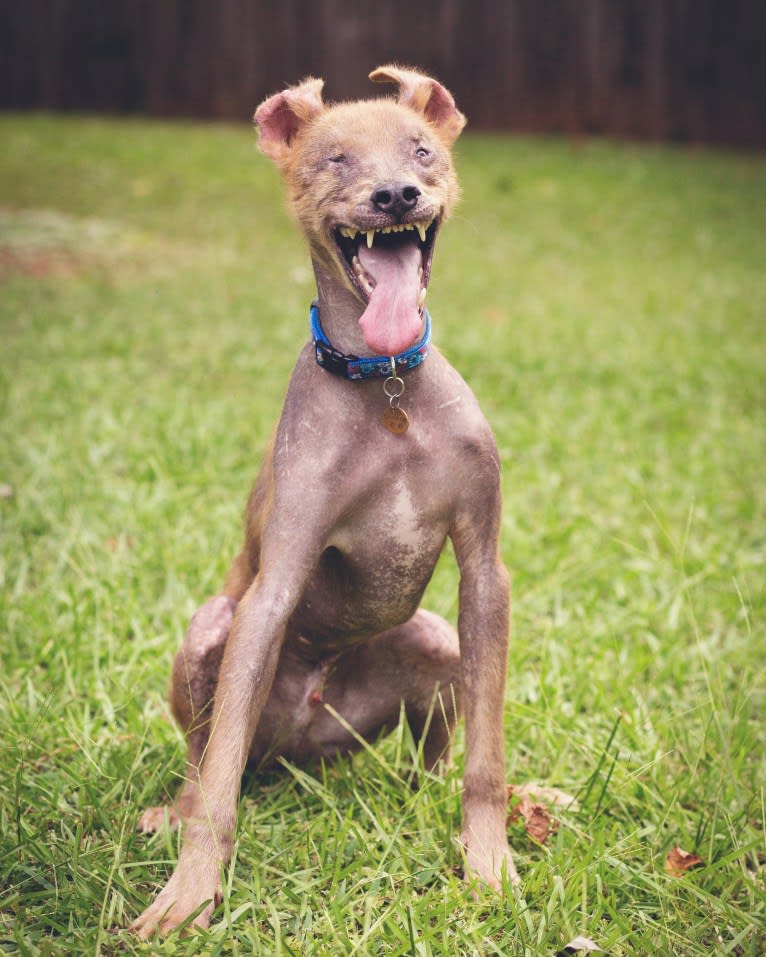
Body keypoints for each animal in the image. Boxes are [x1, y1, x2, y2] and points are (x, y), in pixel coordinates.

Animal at [132, 63, 516, 936]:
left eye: (422, 149)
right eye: (334, 159)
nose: (397, 194)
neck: (387, 383)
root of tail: (306, 734)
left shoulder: (485, 570)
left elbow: (485, 760)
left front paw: (487, 859)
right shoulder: (271, 591)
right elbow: (216, 791)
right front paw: (192, 887)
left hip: (434, 640)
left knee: (431, 754)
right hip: (214, 633)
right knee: (207, 762)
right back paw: (173, 810)